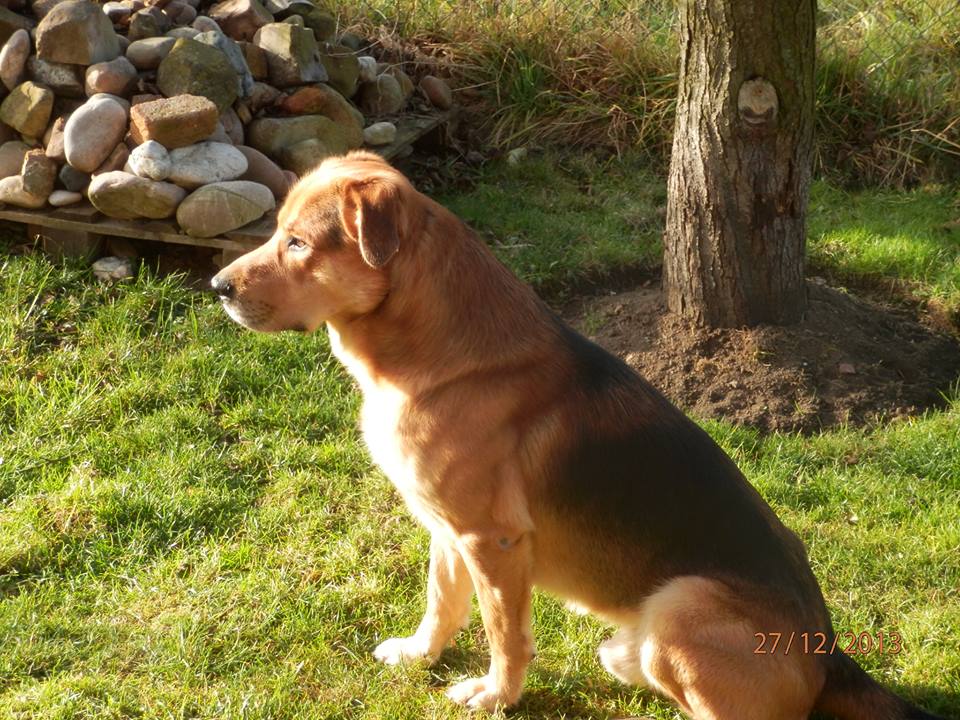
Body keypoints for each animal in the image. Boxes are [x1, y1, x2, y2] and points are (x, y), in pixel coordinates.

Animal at [212, 149, 944, 716]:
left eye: (298, 243)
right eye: (276, 232)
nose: (216, 286)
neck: (433, 351)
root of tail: (829, 654)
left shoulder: (493, 540)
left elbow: (504, 633)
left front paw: (496, 695)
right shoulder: (447, 530)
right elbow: (441, 601)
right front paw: (422, 655)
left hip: (681, 605)